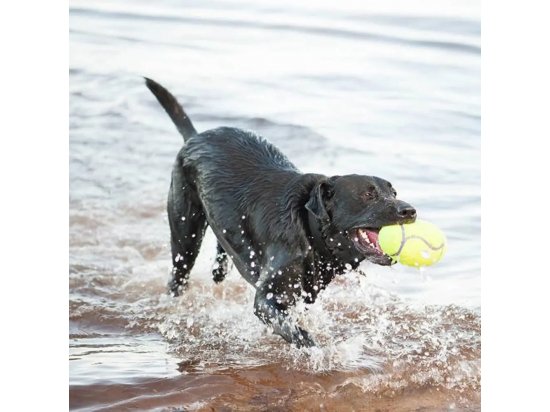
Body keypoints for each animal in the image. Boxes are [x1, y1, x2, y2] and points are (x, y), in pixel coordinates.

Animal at [147, 78, 418, 348]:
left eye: (393, 192)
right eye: (368, 194)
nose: (410, 210)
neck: (310, 232)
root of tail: (194, 137)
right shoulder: (267, 299)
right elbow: (298, 333)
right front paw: (318, 351)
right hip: (185, 233)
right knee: (178, 274)